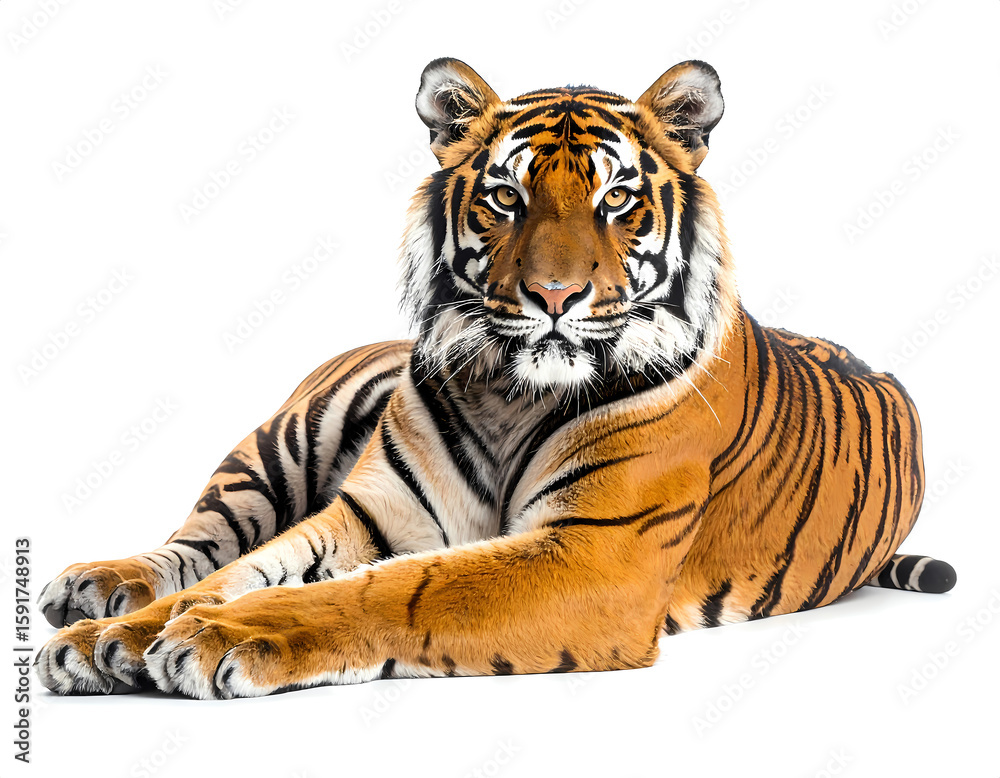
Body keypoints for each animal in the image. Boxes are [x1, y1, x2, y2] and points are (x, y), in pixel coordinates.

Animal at [36, 58, 956, 700]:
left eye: (618, 200)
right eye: (507, 197)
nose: (554, 295)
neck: (512, 392)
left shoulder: (598, 551)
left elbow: (401, 591)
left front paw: (218, 638)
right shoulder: (374, 514)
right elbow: (233, 572)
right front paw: (113, 640)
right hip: (277, 445)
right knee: (198, 538)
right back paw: (94, 590)